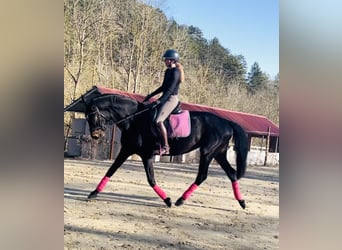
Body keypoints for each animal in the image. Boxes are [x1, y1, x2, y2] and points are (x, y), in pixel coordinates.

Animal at [83, 94, 248, 209]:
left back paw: (180, 200)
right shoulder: (127, 150)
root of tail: (227, 122)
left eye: (93, 116)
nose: (95, 136)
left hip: (207, 152)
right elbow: (111, 170)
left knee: (202, 176)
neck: (135, 120)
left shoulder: (145, 154)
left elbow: (150, 179)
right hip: (218, 153)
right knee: (232, 173)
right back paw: (242, 202)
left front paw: (167, 200)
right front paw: (94, 193)